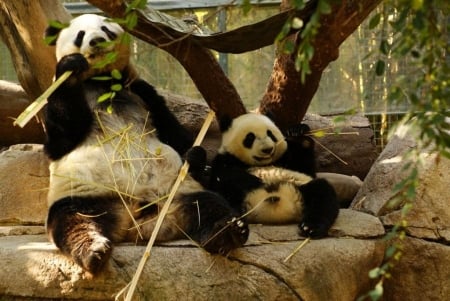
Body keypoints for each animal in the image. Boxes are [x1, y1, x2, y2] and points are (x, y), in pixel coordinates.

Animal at [43, 13, 246, 274]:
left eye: (105, 29)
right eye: (80, 35)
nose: (97, 41)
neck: (104, 82)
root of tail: (136, 224)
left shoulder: (143, 93)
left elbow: (173, 132)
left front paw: (195, 157)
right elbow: (61, 138)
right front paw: (70, 65)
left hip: (177, 192)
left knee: (209, 205)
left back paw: (229, 232)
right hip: (85, 195)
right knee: (73, 220)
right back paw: (94, 251)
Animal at [186, 112, 338, 237]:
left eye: (270, 134)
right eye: (250, 137)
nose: (267, 149)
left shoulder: (289, 160)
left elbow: (306, 169)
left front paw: (298, 133)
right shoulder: (225, 159)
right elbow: (223, 177)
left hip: (301, 189)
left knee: (322, 194)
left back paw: (310, 227)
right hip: (236, 200)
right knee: (214, 201)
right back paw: (233, 228)